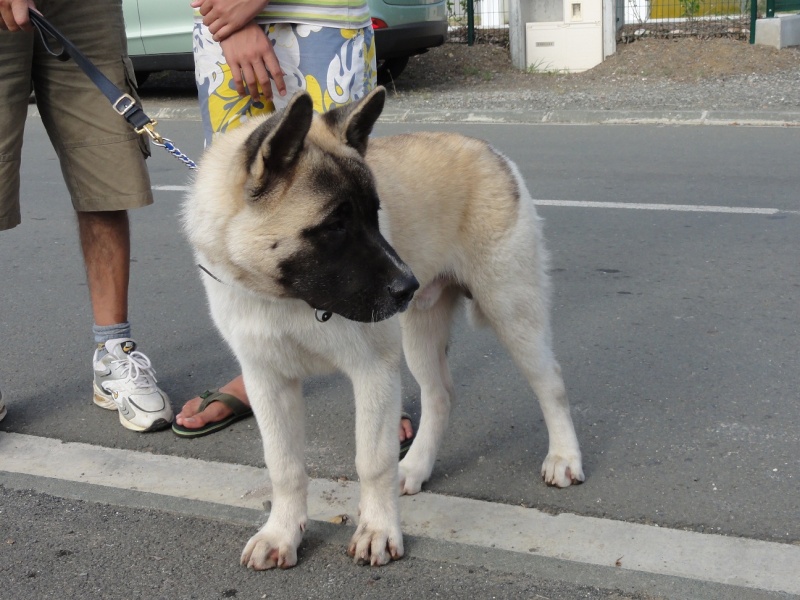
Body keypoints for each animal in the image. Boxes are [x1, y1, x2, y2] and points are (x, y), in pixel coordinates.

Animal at [183, 86, 580, 568]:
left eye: (375, 214)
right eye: (335, 225)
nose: (407, 286)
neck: (291, 299)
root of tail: (487, 149)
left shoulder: (374, 373)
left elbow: (372, 461)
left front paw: (376, 529)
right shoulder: (268, 383)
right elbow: (284, 466)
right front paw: (281, 533)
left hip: (512, 313)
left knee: (550, 384)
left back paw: (563, 457)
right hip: (419, 335)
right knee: (440, 395)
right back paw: (416, 467)